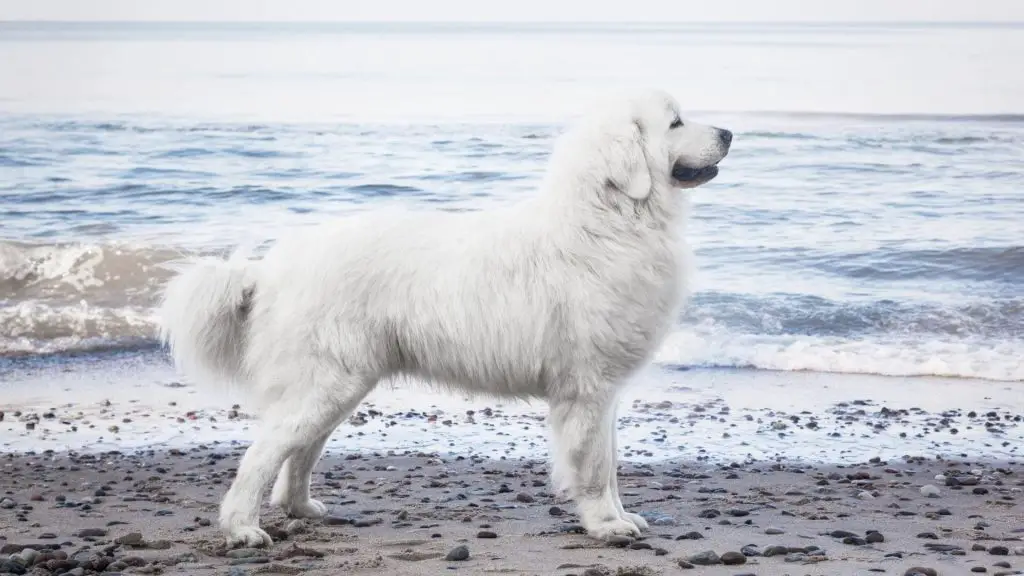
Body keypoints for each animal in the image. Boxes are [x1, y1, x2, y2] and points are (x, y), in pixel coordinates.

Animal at [159, 87, 729, 545]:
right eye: (675, 122)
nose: (728, 132)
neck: (609, 220)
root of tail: (268, 268)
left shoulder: (604, 393)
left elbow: (610, 466)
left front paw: (621, 516)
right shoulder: (586, 390)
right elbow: (593, 470)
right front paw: (606, 526)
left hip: (339, 385)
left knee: (299, 452)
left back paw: (302, 508)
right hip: (327, 383)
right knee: (263, 453)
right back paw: (241, 528)